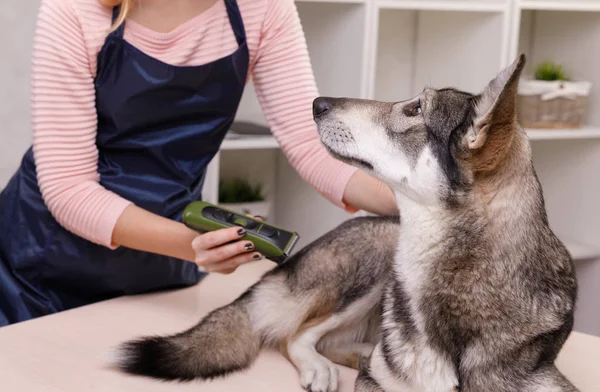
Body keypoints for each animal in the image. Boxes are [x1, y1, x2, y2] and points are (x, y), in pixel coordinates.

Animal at [112, 54, 576, 392]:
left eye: (414, 108)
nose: (317, 103)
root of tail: (287, 263)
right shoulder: (373, 382)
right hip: (374, 261)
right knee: (296, 337)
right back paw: (326, 366)